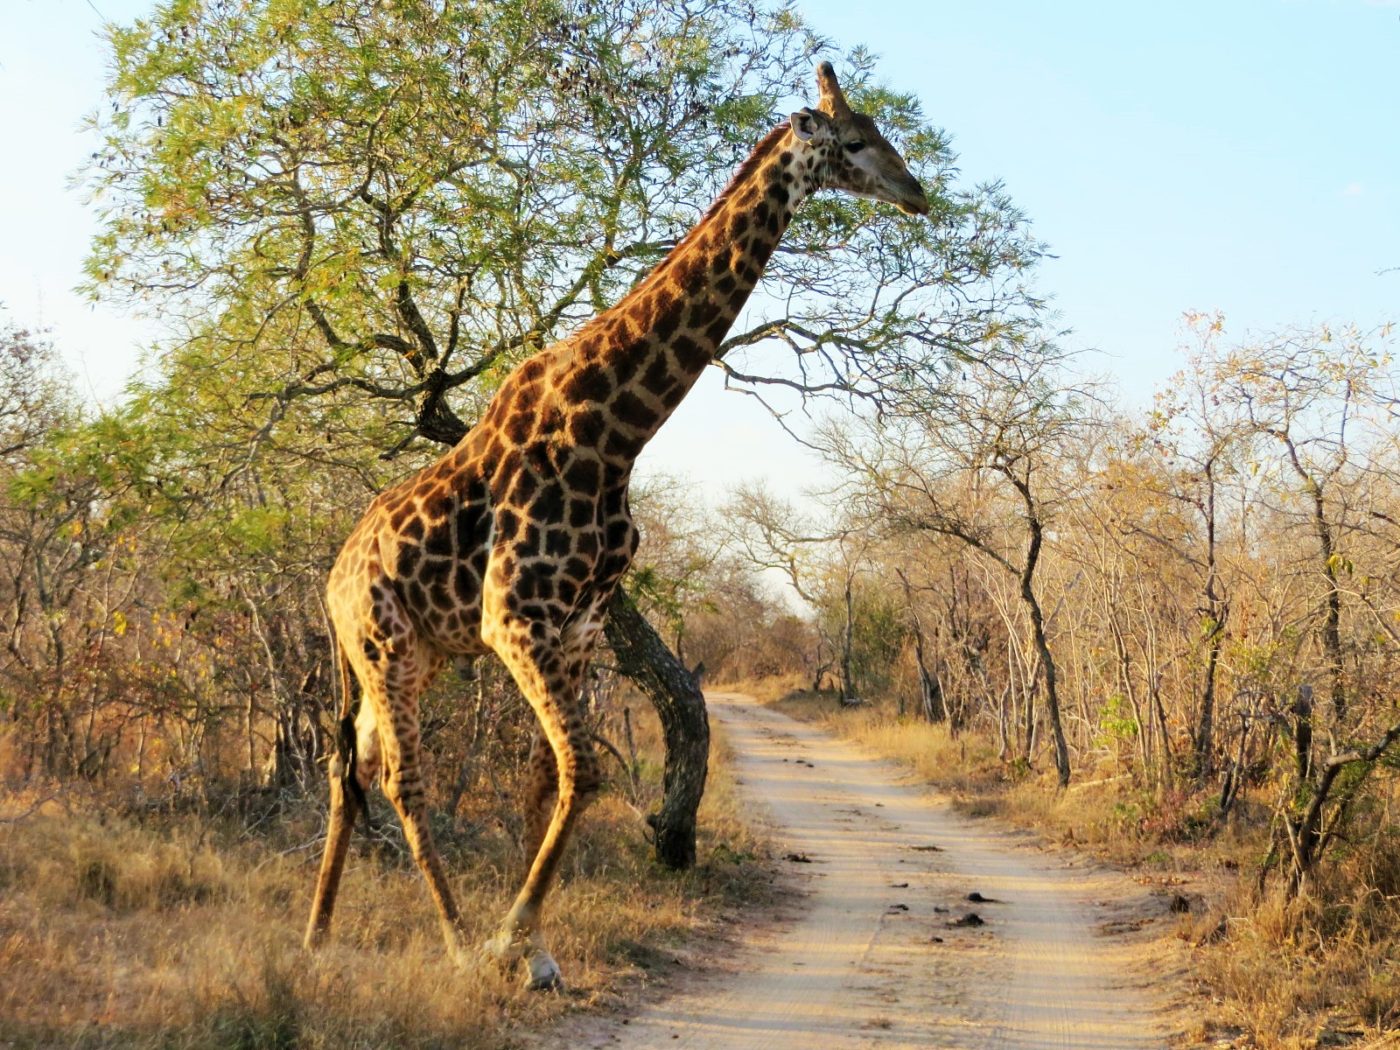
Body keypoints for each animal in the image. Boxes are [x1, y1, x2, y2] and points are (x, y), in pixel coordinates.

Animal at [306, 61, 929, 991]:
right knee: (402, 782)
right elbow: (586, 766)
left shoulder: (576, 626)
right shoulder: (513, 618)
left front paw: (536, 950)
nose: (918, 193)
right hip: (385, 647)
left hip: (411, 654)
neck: (615, 431)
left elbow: (547, 780)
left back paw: (316, 936)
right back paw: (452, 942)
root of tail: (329, 583)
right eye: (854, 140)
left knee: (352, 765)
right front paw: (505, 943)